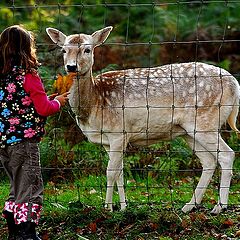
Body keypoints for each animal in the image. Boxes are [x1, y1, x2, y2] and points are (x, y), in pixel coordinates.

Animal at [46, 25, 240, 214]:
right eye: (64, 50)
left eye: (87, 49)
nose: (71, 67)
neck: (95, 103)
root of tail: (235, 84)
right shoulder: (108, 141)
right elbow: (120, 172)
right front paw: (123, 207)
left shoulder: (118, 132)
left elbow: (110, 172)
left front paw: (108, 208)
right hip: (188, 131)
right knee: (209, 161)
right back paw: (189, 206)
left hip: (206, 120)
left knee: (227, 155)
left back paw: (219, 207)